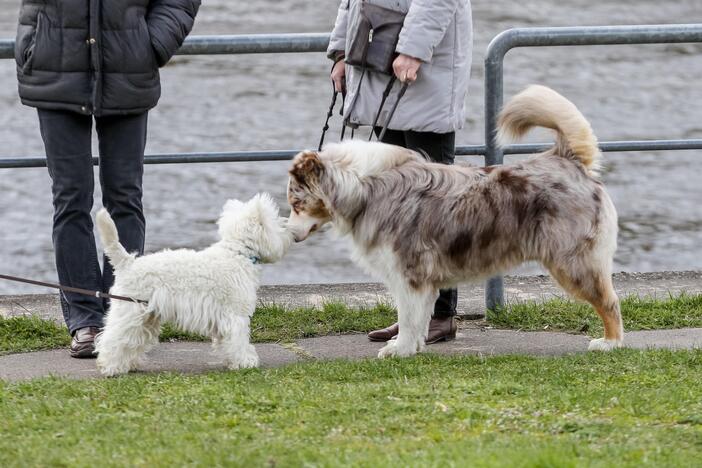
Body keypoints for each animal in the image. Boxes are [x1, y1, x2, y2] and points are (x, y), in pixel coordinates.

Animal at [93, 193, 292, 376]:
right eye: (276, 222)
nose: (290, 232)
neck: (238, 252)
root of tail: (128, 263)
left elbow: (226, 342)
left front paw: (232, 361)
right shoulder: (236, 315)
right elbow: (239, 340)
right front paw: (245, 362)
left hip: (146, 317)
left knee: (133, 340)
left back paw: (130, 364)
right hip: (130, 311)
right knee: (111, 338)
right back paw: (110, 367)